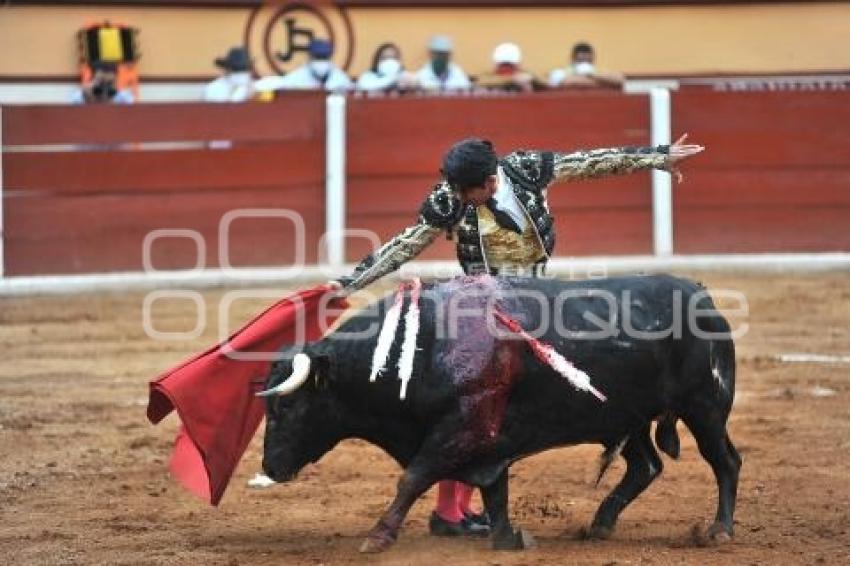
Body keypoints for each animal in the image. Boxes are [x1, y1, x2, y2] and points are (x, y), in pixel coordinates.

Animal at [256, 276, 736, 556]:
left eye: (286, 405)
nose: (271, 467)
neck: (422, 345)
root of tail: (701, 294)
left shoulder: (460, 427)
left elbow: (413, 477)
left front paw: (378, 536)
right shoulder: (486, 440)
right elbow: (494, 490)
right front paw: (508, 537)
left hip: (705, 406)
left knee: (725, 461)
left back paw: (719, 529)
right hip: (625, 417)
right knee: (646, 465)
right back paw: (600, 524)